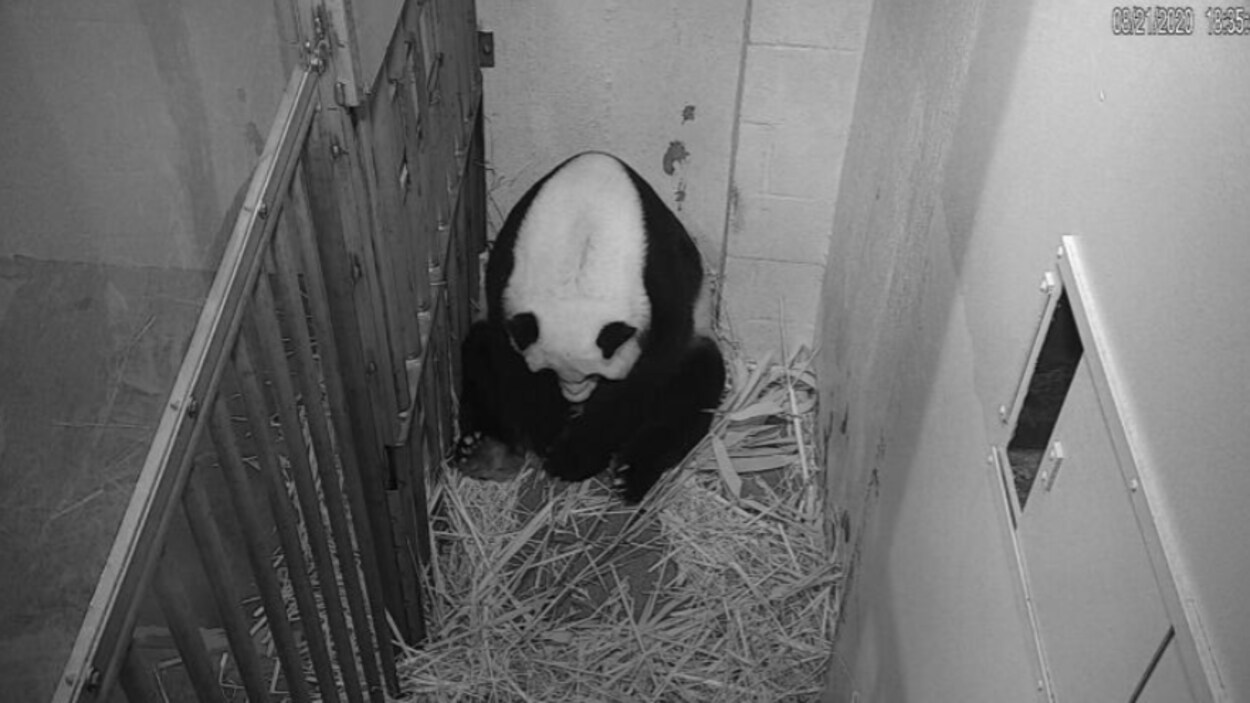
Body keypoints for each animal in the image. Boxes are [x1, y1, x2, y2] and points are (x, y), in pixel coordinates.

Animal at [457, 151, 725, 503]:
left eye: (596, 375)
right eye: (550, 371)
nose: (575, 396)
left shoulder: (660, 278)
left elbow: (648, 373)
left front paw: (573, 456)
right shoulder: (507, 271)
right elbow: (511, 361)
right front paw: (549, 432)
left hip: (699, 340)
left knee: (693, 388)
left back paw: (630, 475)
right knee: (479, 354)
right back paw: (487, 454)